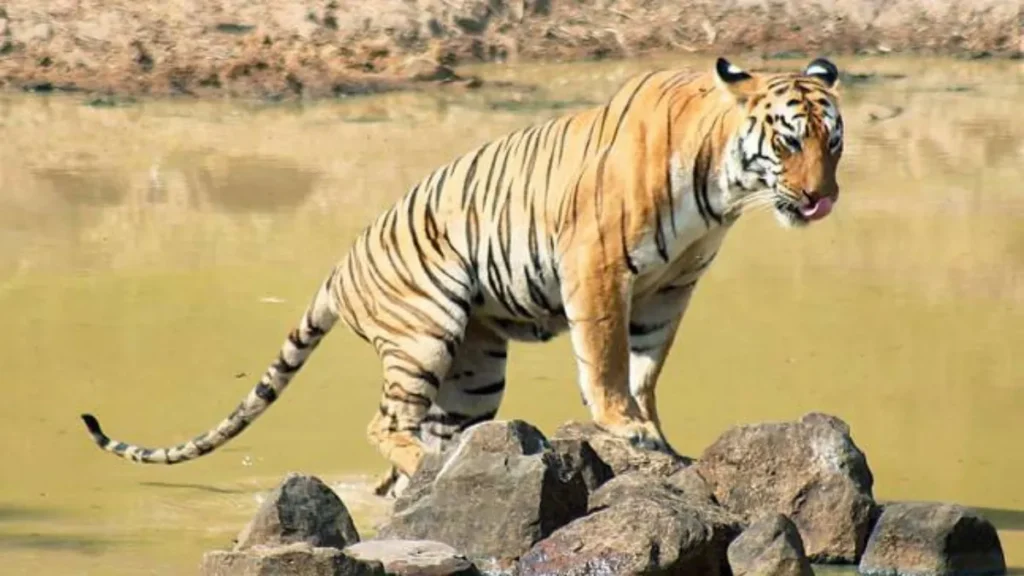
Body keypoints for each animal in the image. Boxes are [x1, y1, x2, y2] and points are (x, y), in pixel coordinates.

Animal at [80, 56, 844, 498]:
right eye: (788, 141)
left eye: (832, 144)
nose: (821, 199)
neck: (724, 188)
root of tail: (337, 268)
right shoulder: (598, 266)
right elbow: (604, 359)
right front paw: (624, 429)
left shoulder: (672, 287)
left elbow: (645, 367)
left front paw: (656, 436)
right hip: (426, 328)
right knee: (385, 421)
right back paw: (420, 465)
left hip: (474, 371)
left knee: (431, 439)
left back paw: (433, 473)